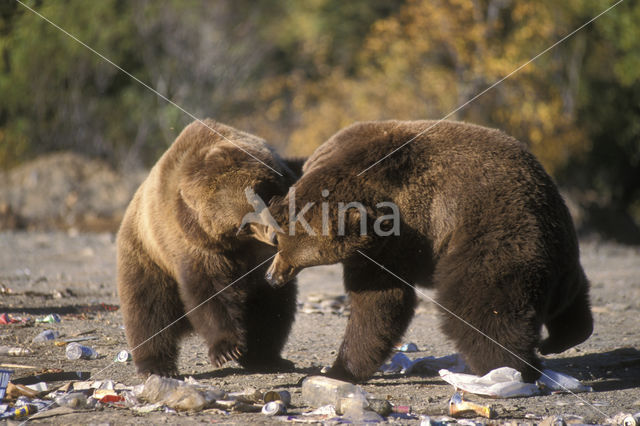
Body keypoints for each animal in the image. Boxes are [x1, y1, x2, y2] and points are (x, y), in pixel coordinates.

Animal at [116, 119, 302, 376]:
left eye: (262, 197)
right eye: (243, 224)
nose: (275, 236)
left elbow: (271, 303)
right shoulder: (196, 244)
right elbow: (209, 291)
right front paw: (227, 348)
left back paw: (266, 357)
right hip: (146, 256)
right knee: (148, 310)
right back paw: (156, 366)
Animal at [262, 119, 592, 382]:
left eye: (281, 244)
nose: (270, 277)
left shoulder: (402, 233)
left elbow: (377, 304)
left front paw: (339, 369)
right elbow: (381, 299)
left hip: (496, 231)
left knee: (484, 305)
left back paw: (513, 366)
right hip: (561, 253)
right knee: (572, 296)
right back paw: (561, 338)